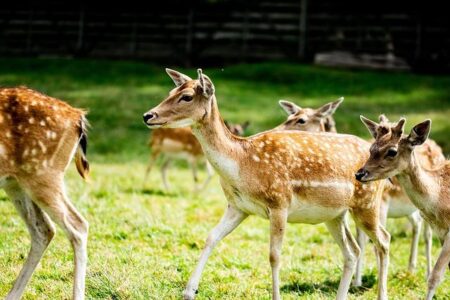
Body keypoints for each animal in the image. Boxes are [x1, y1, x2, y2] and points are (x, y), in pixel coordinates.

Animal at [143, 69, 390, 300]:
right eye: (170, 92)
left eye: (186, 97)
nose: (148, 115)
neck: (241, 165)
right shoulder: (238, 206)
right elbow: (211, 237)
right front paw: (189, 291)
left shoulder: (279, 202)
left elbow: (274, 255)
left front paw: (275, 295)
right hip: (335, 215)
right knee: (352, 250)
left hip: (367, 203)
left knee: (383, 240)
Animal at [278, 101, 442, 284]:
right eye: (289, 116)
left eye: (301, 120)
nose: (278, 130)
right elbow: (360, 240)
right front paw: (357, 281)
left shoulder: (380, 204)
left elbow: (371, 241)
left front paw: (365, 281)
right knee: (416, 224)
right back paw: (410, 269)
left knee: (427, 233)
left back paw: (426, 273)